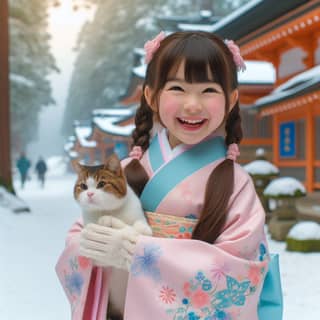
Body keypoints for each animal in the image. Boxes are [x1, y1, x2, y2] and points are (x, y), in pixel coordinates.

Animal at [73, 154, 152, 318]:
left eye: (102, 184)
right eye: (83, 186)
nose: (89, 194)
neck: (109, 211)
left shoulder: (138, 216)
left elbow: (142, 229)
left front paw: (131, 233)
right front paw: (107, 222)